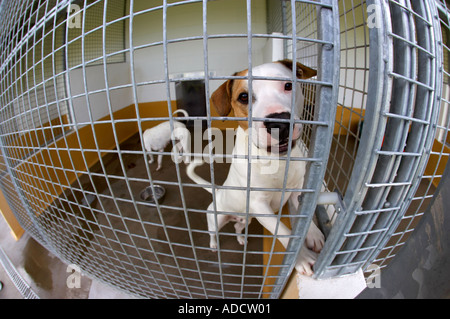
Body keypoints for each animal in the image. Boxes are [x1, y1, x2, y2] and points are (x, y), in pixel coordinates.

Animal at [186, 60, 324, 278]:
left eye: (288, 85)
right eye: (243, 97)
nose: (279, 123)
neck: (276, 161)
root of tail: (219, 191)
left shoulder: (298, 190)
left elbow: (303, 215)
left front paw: (313, 234)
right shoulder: (259, 205)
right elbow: (282, 231)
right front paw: (302, 258)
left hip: (246, 220)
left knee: (237, 226)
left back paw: (241, 238)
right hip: (216, 219)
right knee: (213, 232)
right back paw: (214, 245)